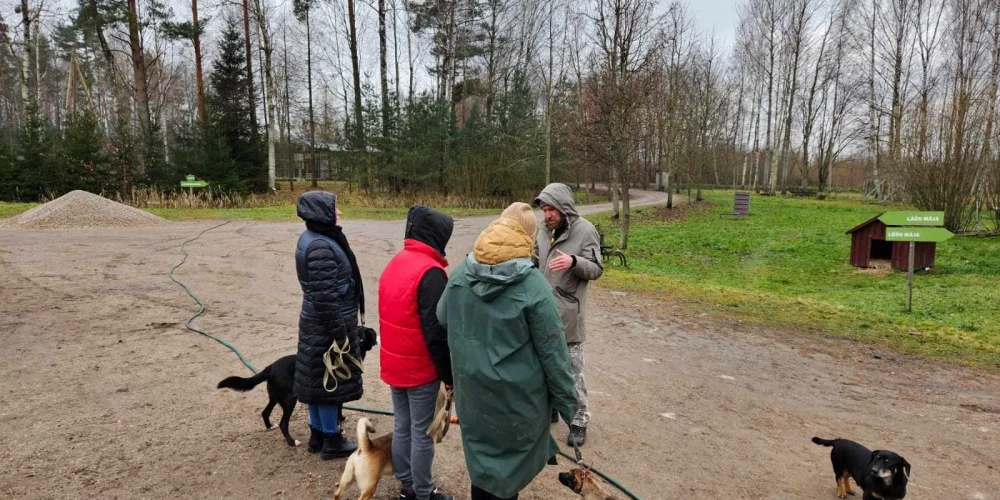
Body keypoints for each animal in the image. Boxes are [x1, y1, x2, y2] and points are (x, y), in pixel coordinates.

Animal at [217, 330, 376, 448]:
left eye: (362, 337)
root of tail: (270, 368)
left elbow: (340, 410)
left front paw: (341, 419)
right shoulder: (335, 394)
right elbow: (337, 413)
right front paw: (340, 427)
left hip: (275, 397)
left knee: (265, 412)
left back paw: (270, 426)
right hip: (289, 400)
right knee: (283, 423)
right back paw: (292, 442)